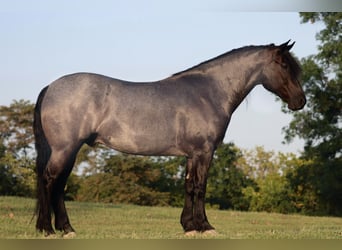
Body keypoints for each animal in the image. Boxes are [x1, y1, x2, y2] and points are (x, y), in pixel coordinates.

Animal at [33, 40, 306, 236]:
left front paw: (189, 226)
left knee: (58, 185)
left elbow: (188, 185)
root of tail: (50, 87)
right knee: (49, 181)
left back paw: (66, 229)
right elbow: (200, 187)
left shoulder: (192, 154)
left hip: (70, 151)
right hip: (65, 149)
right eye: (284, 65)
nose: (300, 101)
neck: (209, 92)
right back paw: (47, 229)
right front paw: (205, 226)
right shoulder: (204, 152)